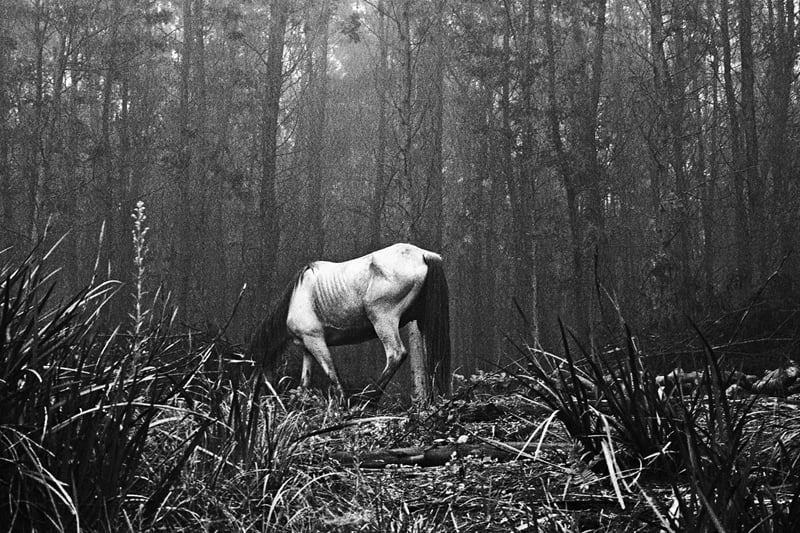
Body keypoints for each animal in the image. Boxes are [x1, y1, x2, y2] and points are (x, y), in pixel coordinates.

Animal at [248, 243, 451, 401]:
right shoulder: (308, 347)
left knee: (396, 354)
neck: (296, 297)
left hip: (382, 319)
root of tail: (423, 254)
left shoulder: (315, 340)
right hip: (423, 322)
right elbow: (304, 384)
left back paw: (366, 400)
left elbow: (332, 375)